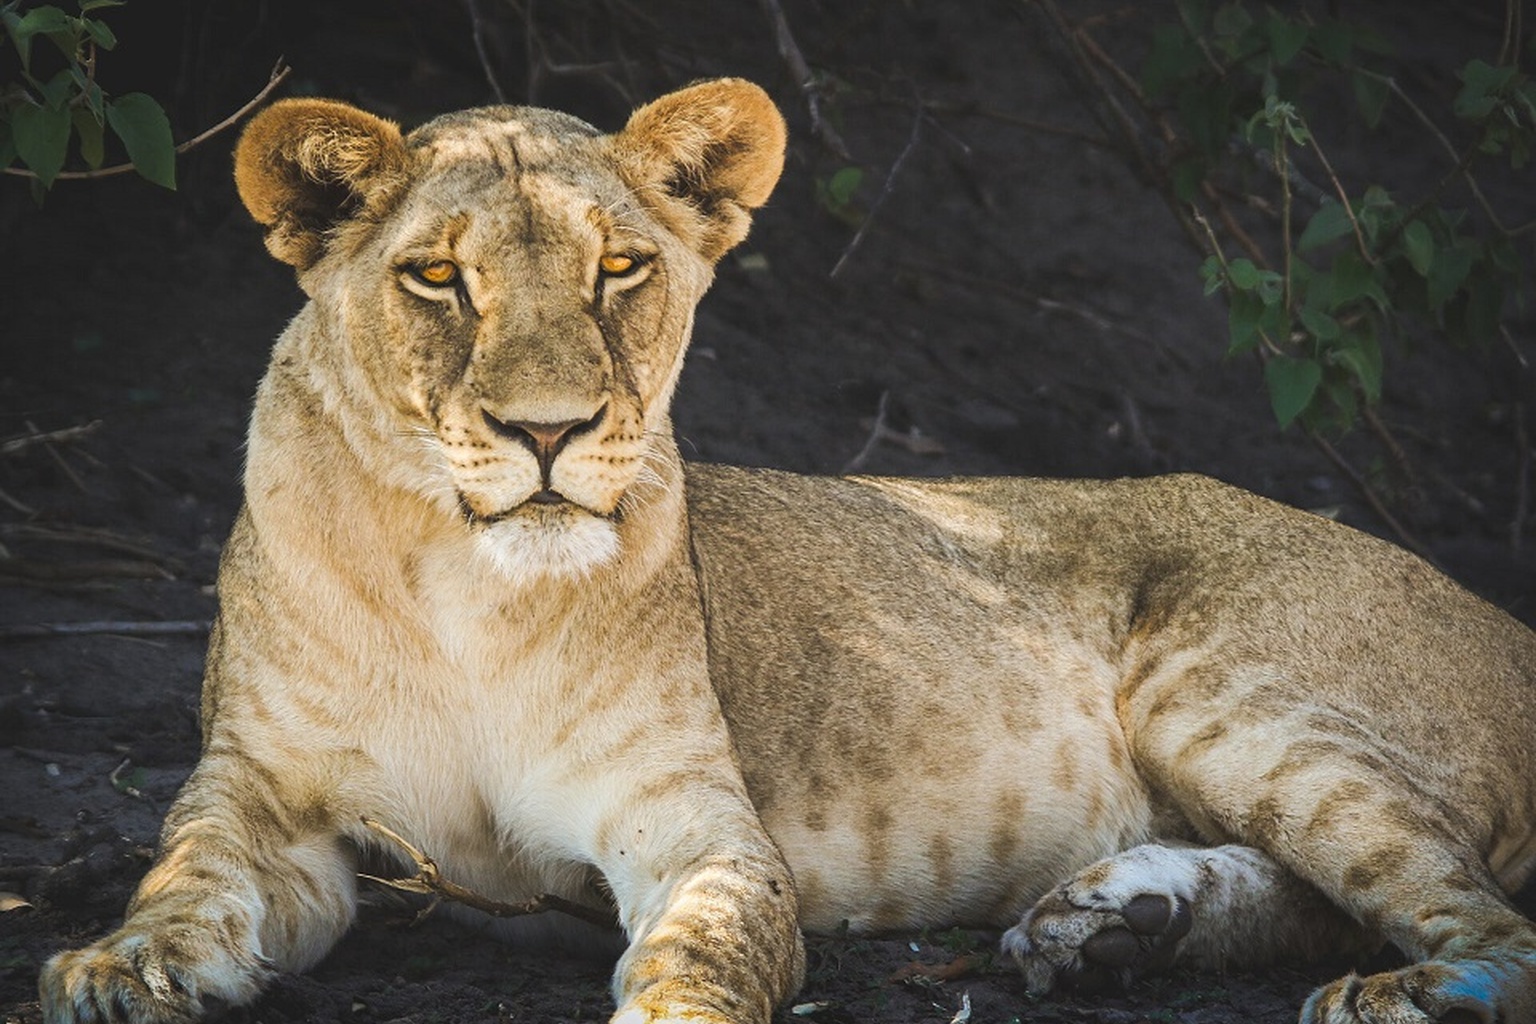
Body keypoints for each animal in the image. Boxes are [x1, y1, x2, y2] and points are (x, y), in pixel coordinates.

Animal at [37, 78, 1536, 1024]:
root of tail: (1506, 620)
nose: (547, 431)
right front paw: (115, 967)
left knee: (1480, 921)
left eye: (621, 269)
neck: (465, 587)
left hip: (1229, 695)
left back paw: (1392, 989)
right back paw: (1117, 927)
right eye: (438, 278)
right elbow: (184, 878)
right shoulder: (260, 795)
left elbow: (713, 945)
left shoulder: (690, 817)